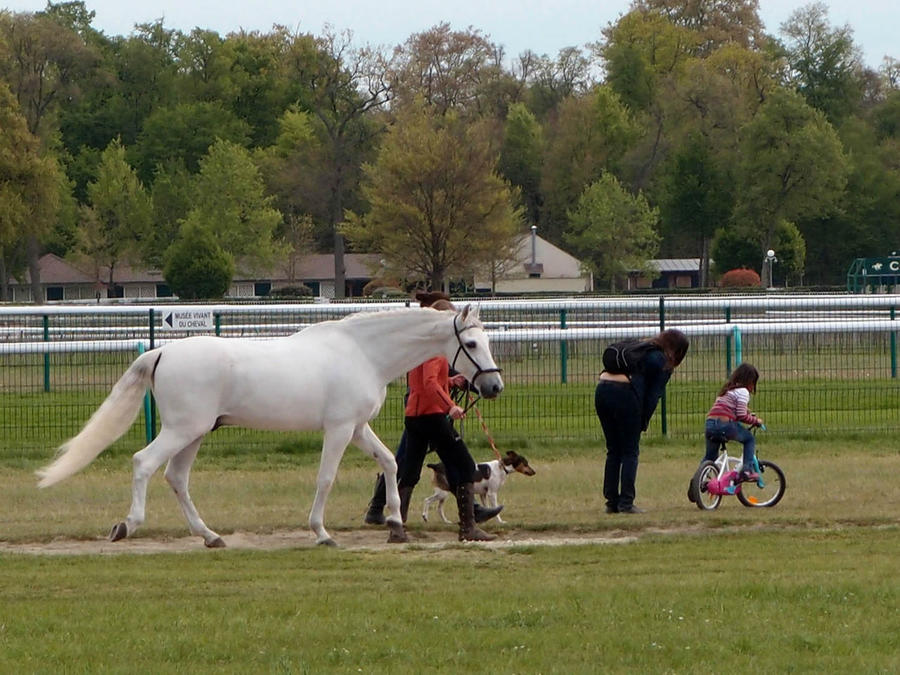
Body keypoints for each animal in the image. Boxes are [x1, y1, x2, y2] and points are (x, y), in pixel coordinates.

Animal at [37, 306, 500, 548]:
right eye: (470, 343)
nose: (493, 386)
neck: (362, 352)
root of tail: (162, 352)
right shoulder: (338, 429)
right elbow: (326, 478)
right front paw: (321, 533)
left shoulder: (356, 428)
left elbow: (389, 462)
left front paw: (395, 523)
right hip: (182, 430)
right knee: (143, 464)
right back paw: (127, 525)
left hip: (194, 434)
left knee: (176, 478)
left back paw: (210, 536)